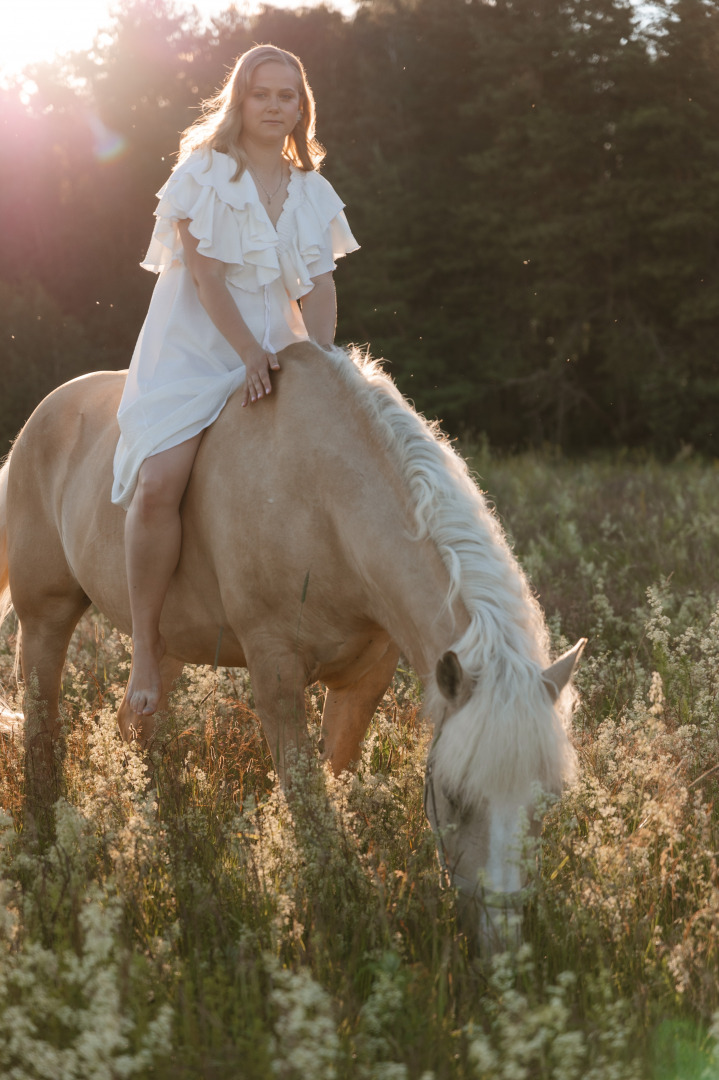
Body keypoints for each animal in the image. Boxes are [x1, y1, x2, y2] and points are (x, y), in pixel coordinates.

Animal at [0, 341, 578, 950]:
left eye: (548, 799)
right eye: (454, 795)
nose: (502, 940)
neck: (325, 499)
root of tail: (42, 415)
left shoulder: (364, 679)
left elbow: (331, 780)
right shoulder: (274, 671)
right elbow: (306, 800)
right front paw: (332, 909)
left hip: (164, 644)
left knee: (133, 724)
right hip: (46, 617)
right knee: (41, 727)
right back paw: (45, 838)